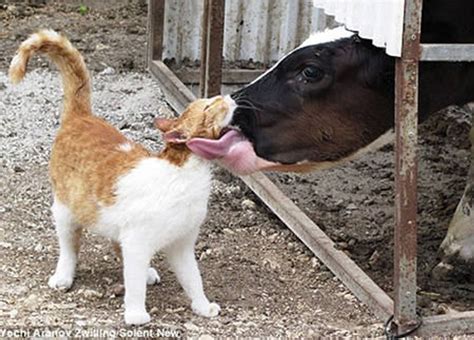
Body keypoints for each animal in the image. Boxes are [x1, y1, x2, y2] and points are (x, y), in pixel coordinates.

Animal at [9, 29, 235, 324]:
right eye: (208, 107)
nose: (228, 98)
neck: (184, 176)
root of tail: (82, 117)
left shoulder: (181, 244)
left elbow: (193, 279)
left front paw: (202, 306)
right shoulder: (138, 240)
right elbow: (134, 282)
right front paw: (136, 314)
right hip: (66, 211)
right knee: (70, 247)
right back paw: (63, 276)